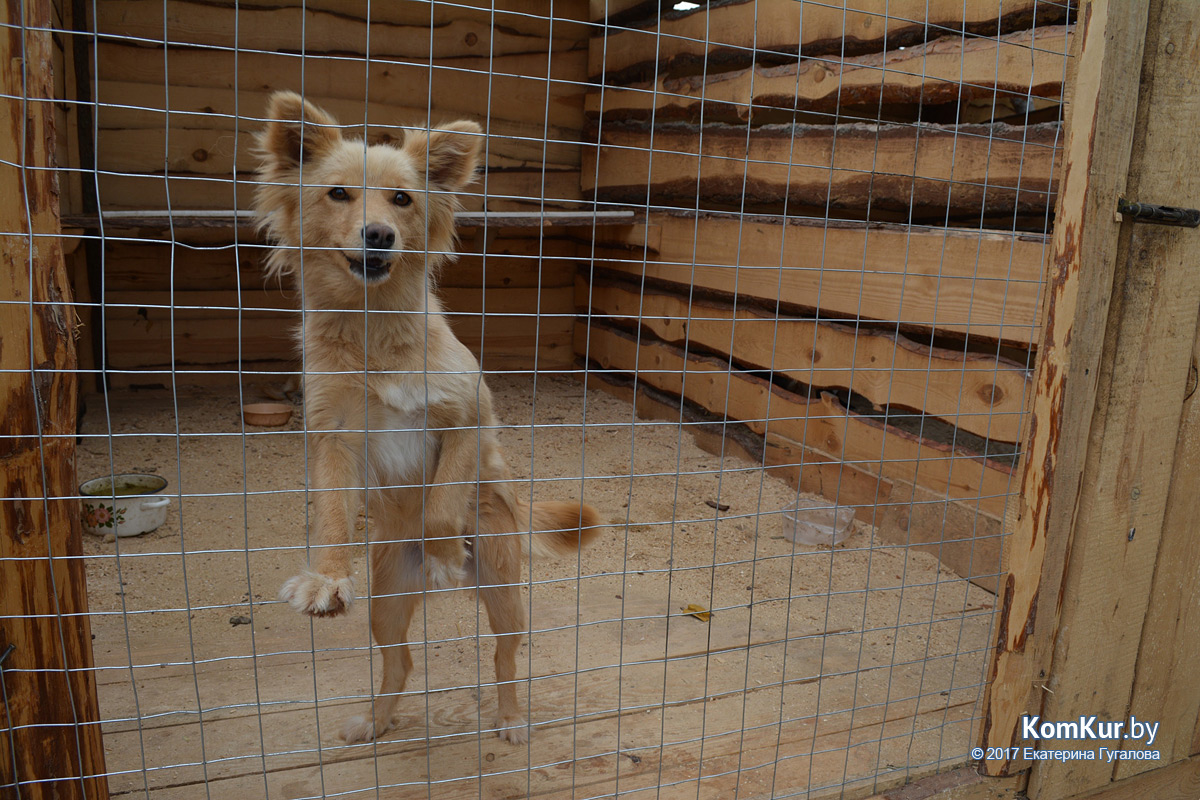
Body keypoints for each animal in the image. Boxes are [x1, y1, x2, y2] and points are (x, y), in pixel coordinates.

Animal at [256, 92, 604, 743]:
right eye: (338, 193)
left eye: (402, 198)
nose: (378, 234)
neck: (373, 332)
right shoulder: (333, 436)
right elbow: (332, 515)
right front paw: (327, 577)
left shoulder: (465, 418)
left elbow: (442, 505)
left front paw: (444, 556)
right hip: (387, 606)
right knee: (401, 663)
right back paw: (375, 720)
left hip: (504, 593)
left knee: (504, 659)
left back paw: (511, 717)